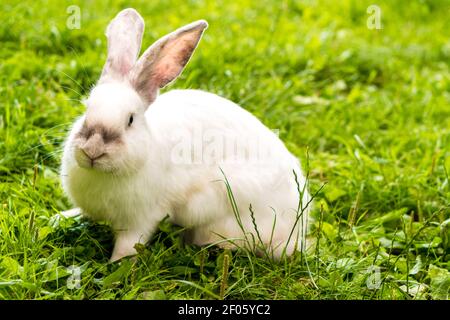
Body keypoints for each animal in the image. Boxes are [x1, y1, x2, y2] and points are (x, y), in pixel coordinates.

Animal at [61, 8, 312, 262]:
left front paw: (114, 265)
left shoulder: (141, 219)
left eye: (130, 120)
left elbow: (128, 245)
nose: (92, 151)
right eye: (86, 109)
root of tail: (296, 231)